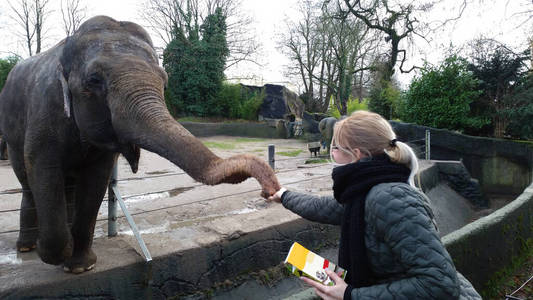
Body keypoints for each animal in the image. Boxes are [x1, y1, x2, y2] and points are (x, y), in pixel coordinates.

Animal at [0, 16, 280, 274]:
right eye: (94, 80)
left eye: (164, 80)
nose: (270, 190)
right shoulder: (45, 109)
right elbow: (43, 169)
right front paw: (56, 253)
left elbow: (95, 183)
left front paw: (81, 267)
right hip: (12, 133)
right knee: (27, 180)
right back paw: (27, 246)